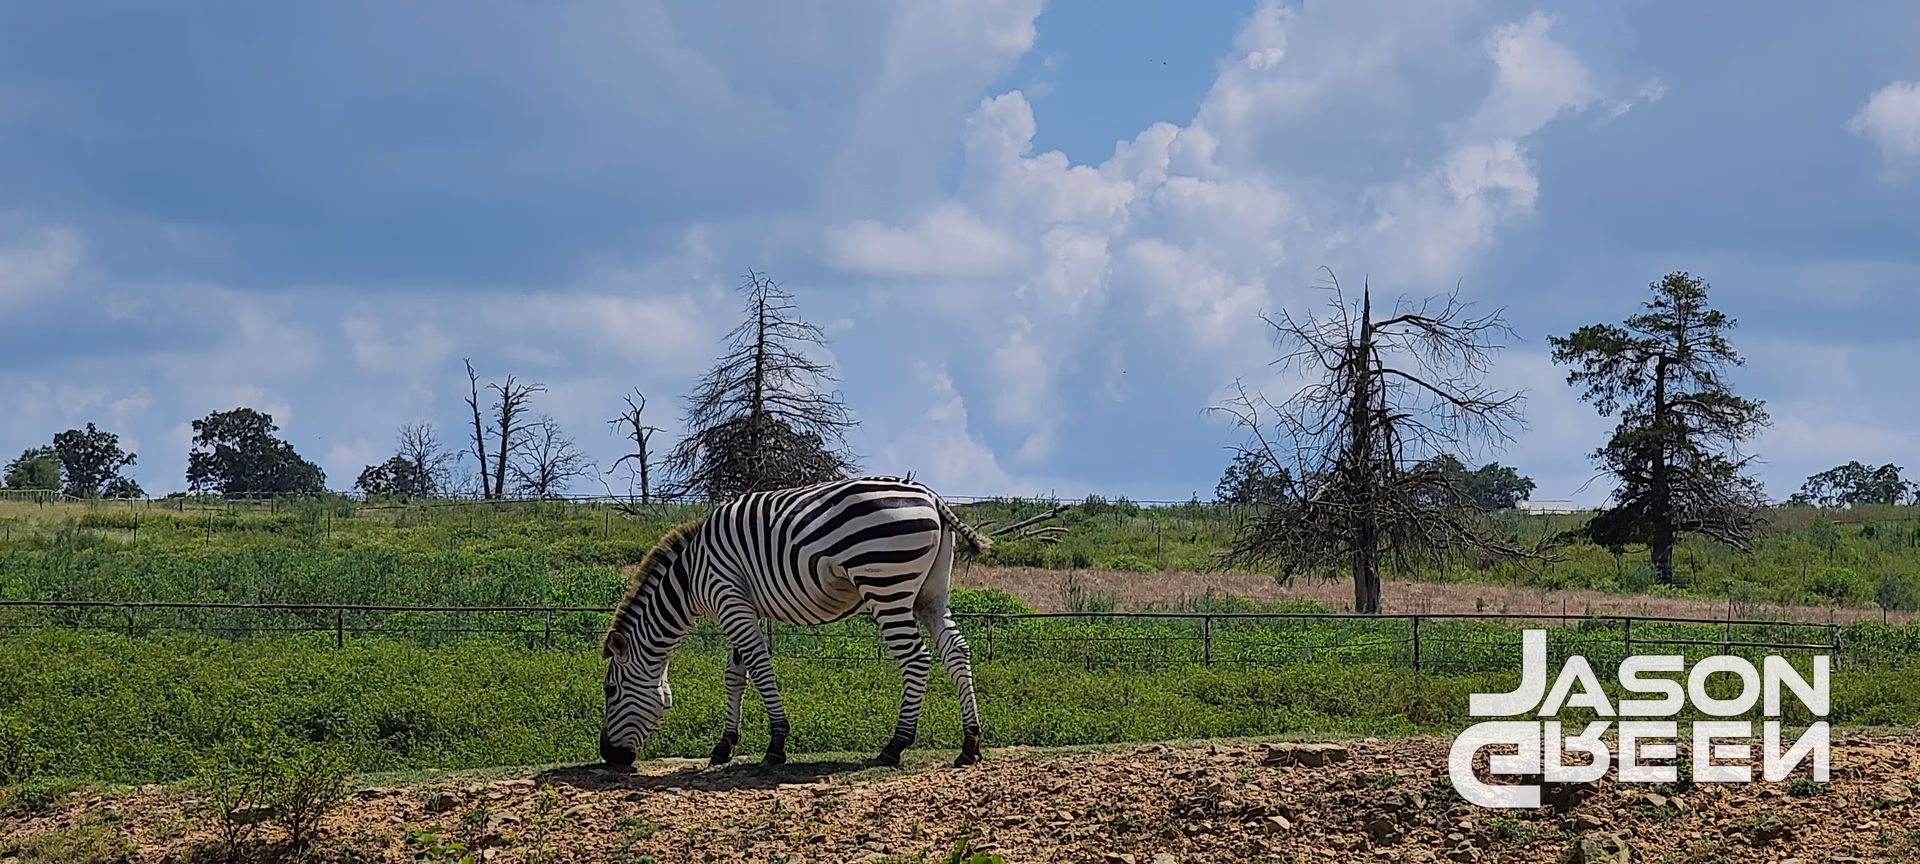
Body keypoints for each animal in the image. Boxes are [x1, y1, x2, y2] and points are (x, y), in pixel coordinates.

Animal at [597, 475, 993, 770]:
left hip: (886, 586)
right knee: (956, 651)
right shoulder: (739, 606)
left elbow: (760, 670)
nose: (608, 756)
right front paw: (725, 745)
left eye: (610, 691)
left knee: (916, 659)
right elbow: (734, 676)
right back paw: (970, 743)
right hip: (930, 593)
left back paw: (894, 746)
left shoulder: (729, 600)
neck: (691, 574)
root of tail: (931, 497)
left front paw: (775, 744)